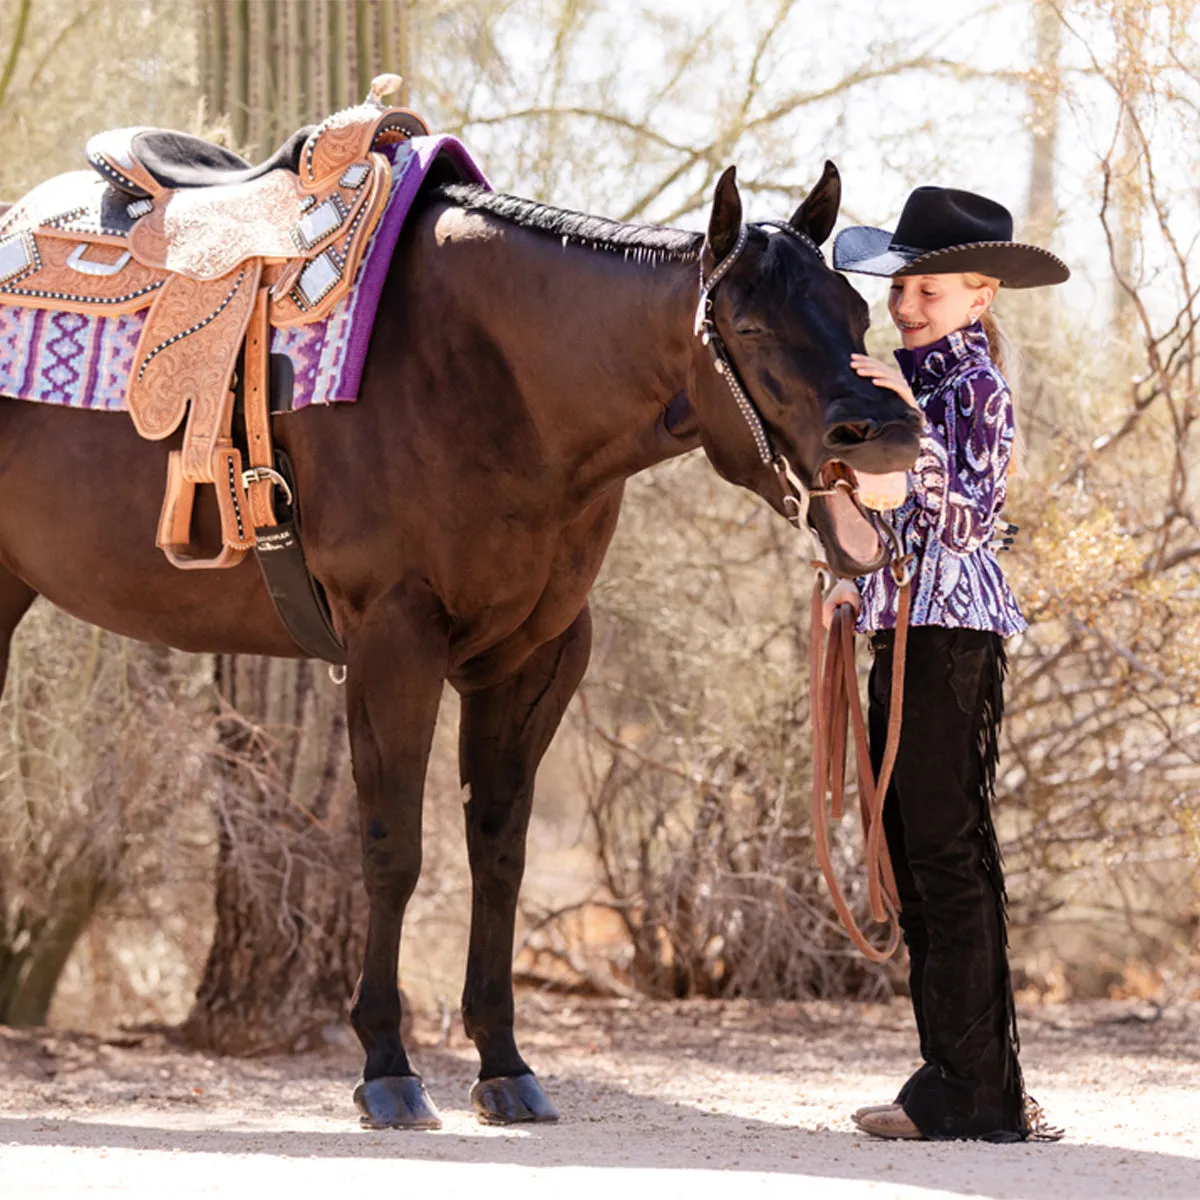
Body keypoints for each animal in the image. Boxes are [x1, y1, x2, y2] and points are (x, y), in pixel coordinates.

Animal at [0, 159, 921, 1123]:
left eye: (855, 310)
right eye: (748, 325)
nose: (891, 432)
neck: (492, 380)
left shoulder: (534, 659)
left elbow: (500, 852)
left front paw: (504, 1063)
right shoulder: (393, 644)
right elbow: (393, 848)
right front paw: (386, 1067)